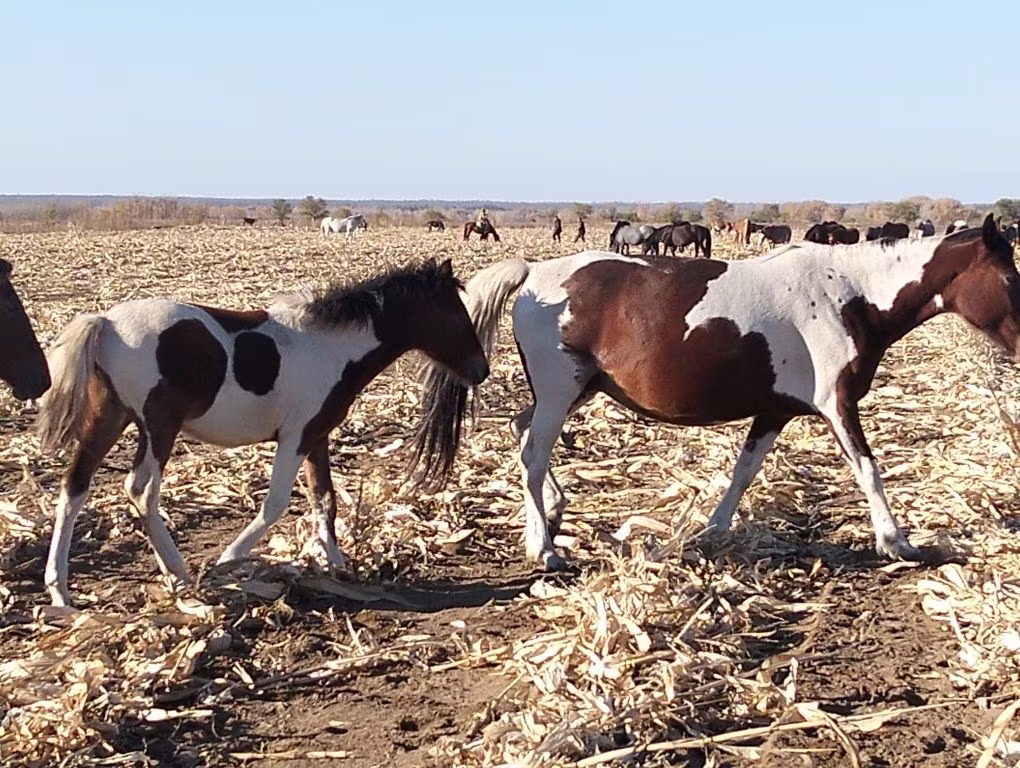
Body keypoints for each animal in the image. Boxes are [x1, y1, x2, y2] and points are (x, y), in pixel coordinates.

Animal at [37, 259, 489, 607]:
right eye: (456, 313)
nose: (481, 370)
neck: (331, 348)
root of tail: (106, 323)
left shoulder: (316, 438)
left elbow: (325, 500)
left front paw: (337, 567)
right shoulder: (294, 439)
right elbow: (276, 505)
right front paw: (229, 560)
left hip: (109, 419)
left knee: (74, 488)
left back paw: (60, 591)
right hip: (157, 426)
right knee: (141, 491)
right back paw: (180, 574)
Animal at [411, 214, 1020, 571]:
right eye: (1011, 278)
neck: (849, 294)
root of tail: (534, 273)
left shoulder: (775, 411)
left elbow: (744, 470)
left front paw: (712, 531)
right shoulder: (837, 405)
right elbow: (869, 469)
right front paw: (897, 541)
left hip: (579, 390)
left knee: (521, 433)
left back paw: (554, 515)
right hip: (563, 392)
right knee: (533, 454)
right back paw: (544, 549)